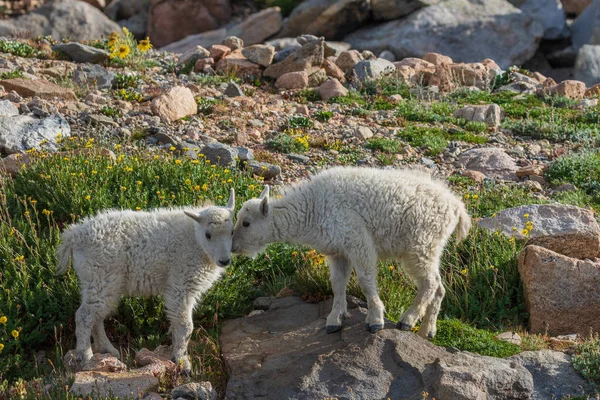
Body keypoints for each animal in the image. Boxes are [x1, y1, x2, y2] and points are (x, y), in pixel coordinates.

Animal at [55, 189, 236, 370]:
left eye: (232, 232)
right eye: (208, 235)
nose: (224, 260)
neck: (194, 240)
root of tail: (74, 236)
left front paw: (177, 352)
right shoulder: (181, 283)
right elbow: (185, 325)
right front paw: (182, 361)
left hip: (101, 283)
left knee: (97, 316)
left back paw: (108, 349)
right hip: (100, 278)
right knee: (84, 316)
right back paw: (86, 356)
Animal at [232, 166, 472, 338]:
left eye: (246, 223)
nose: (233, 247)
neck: (313, 209)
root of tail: (457, 208)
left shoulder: (357, 239)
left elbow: (365, 281)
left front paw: (375, 320)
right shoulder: (338, 252)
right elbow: (338, 285)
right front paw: (334, 320)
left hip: (420, 245)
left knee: (430, 283)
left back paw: (407, 320)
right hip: (432, 247)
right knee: (439, 287)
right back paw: (427, 331)